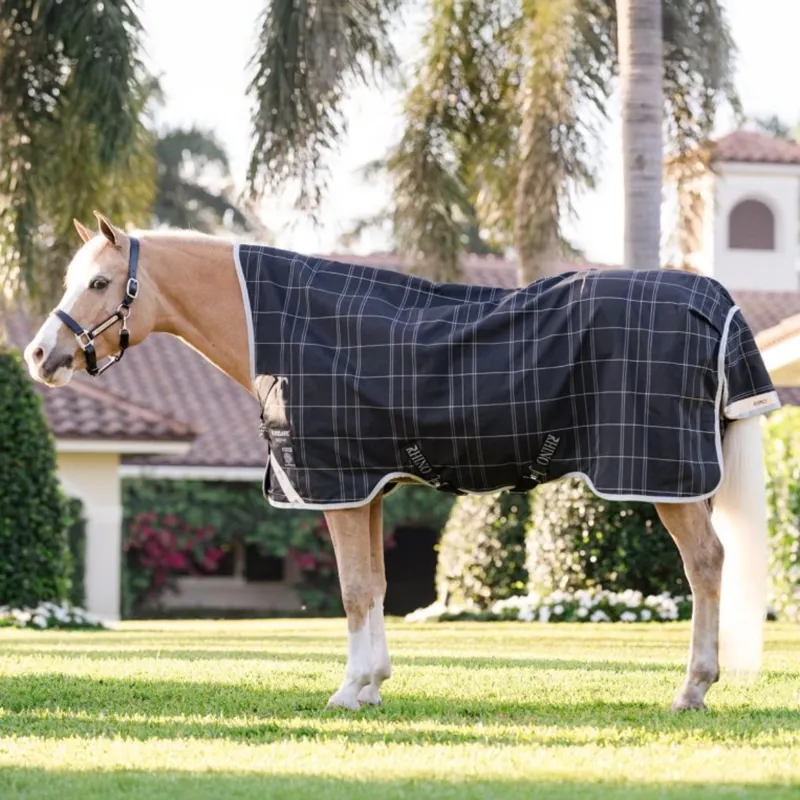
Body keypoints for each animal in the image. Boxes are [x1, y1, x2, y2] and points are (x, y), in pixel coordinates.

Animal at [24, 212, 774, 712]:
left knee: (705, 563)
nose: (38, 356)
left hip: (668, 479)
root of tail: (715, 301)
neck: (285, 327)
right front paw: (372, 685)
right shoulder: (370, 489)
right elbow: (376, 585)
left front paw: (349, 690)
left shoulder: (335, 485)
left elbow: (355, 589)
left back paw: (692, 689)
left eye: (99, 282)